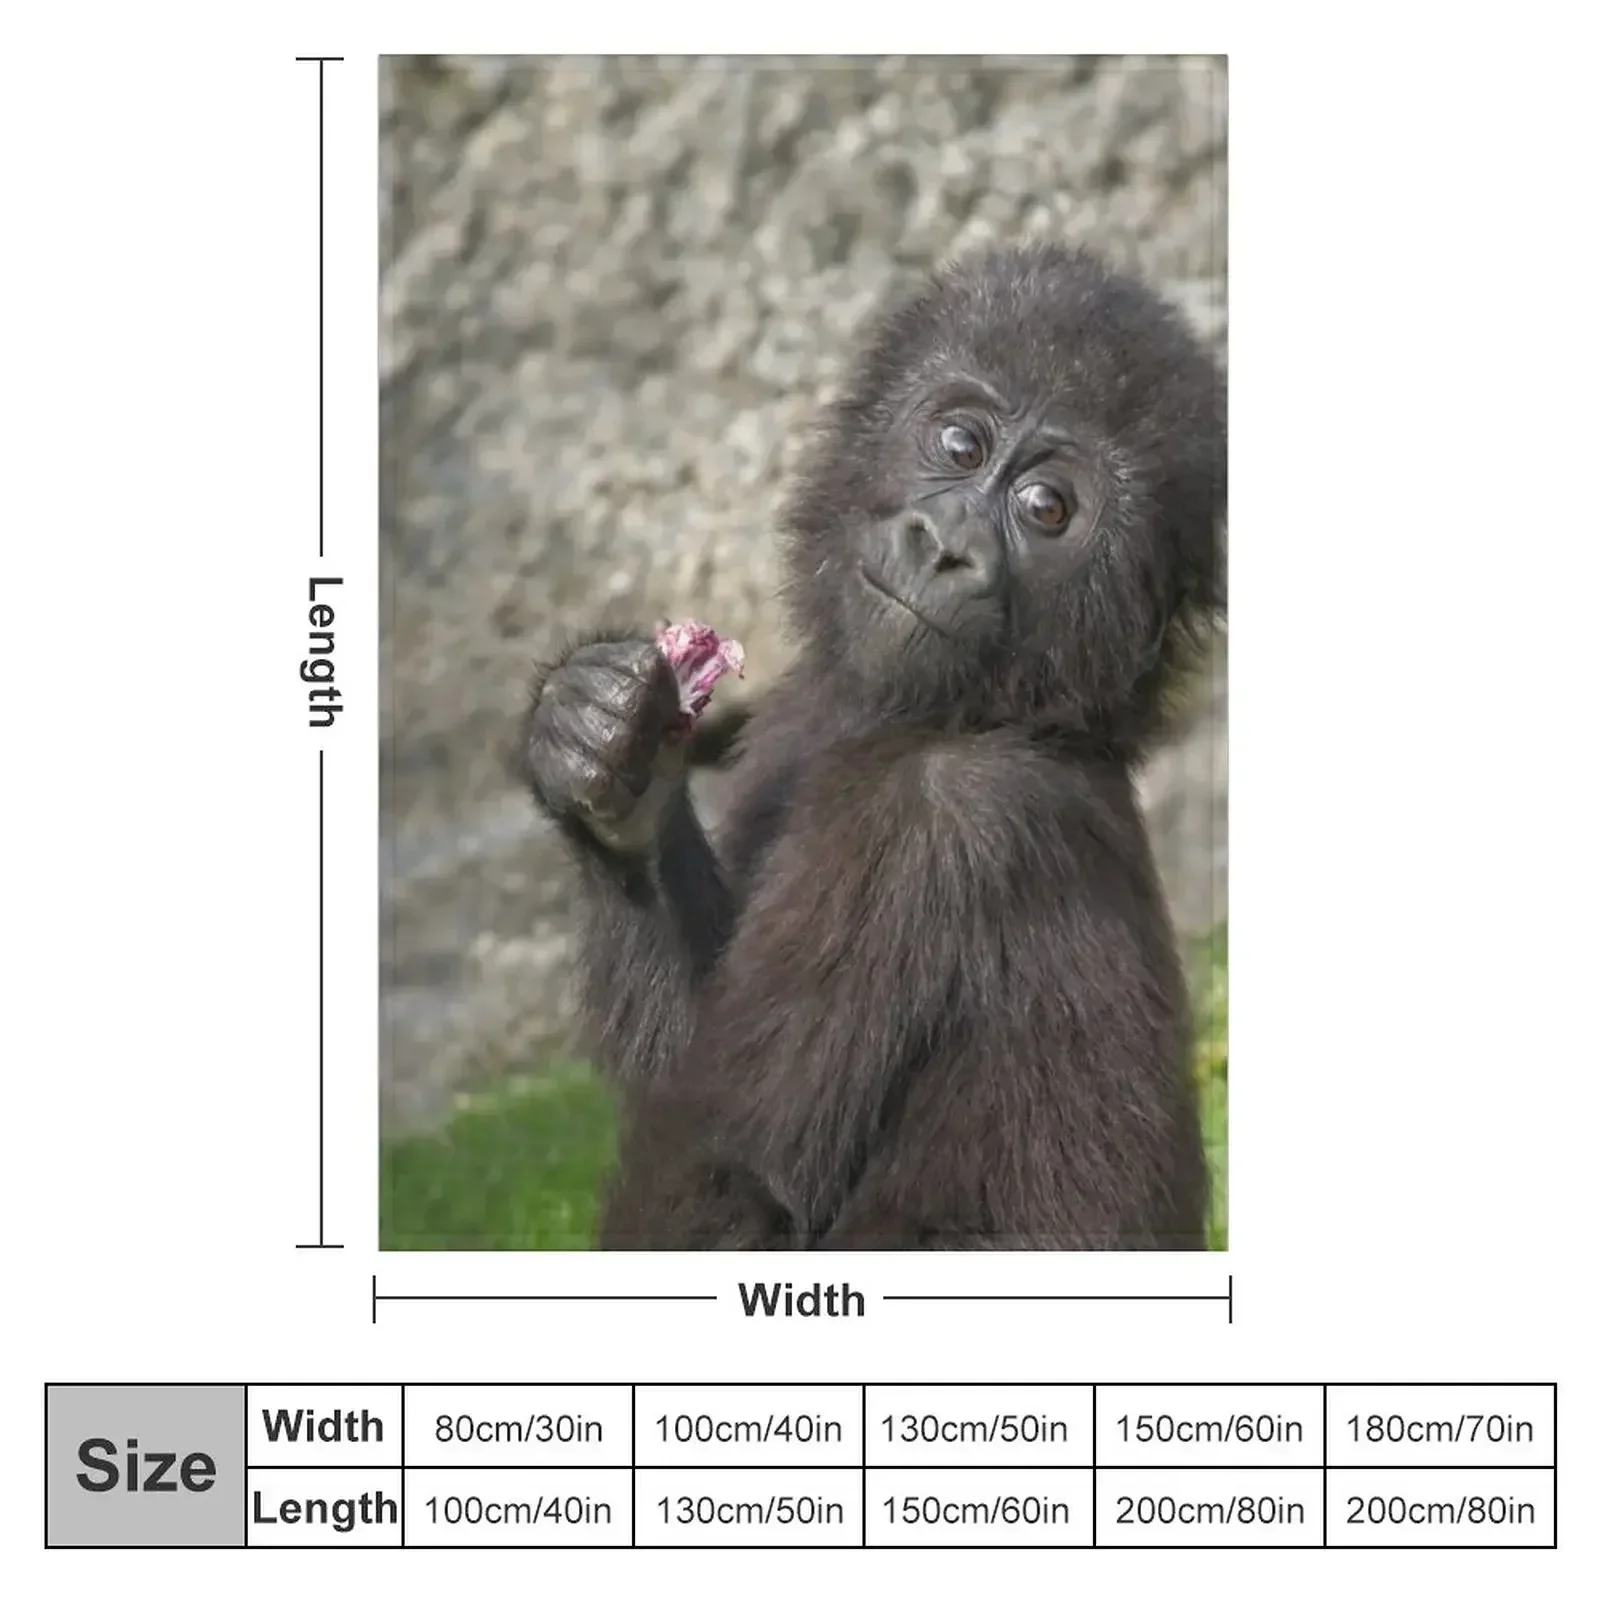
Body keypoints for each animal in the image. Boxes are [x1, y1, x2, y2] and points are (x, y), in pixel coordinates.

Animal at [523, 241, 1225, 1249]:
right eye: (961, 446)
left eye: (1048, 507)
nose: (944, 546)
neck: (1000, 712)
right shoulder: (801, 709)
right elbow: (680, 1062)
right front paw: (612, 764)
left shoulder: (942, 815)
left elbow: (722, 1173)